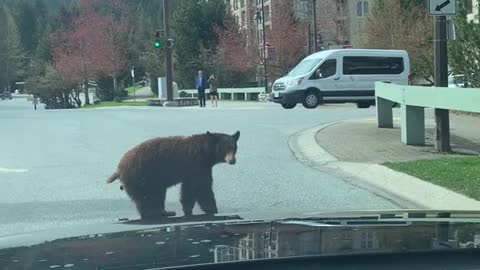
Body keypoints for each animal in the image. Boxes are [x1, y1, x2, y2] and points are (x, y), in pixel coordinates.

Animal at [106, 131, 239, 219]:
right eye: (225, 148)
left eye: (234, 147)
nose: (232, 160)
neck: (206, 151)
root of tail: (119, 169)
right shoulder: (197, 163)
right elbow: (202, 186)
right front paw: (213, 210)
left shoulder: (191, 171)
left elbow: (188, 190)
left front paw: (188, 210)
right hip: (142, 177)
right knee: (147, 197)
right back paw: (156, 213)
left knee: (157, 195)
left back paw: (164, 212)